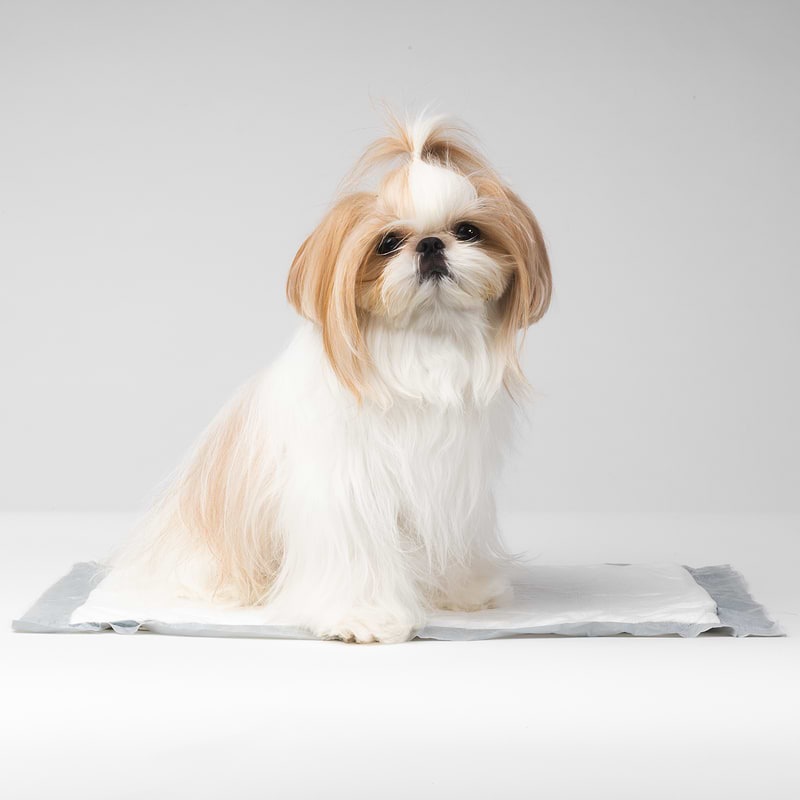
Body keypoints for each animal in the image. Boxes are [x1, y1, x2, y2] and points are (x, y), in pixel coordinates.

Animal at [106, 114, 552, 644]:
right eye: (388, 242)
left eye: (467, 230)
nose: (430, 243)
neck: (422, 346)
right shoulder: (347, 490)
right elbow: (359, 559)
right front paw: (364, 617)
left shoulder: (452, 487)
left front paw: (462, 590)